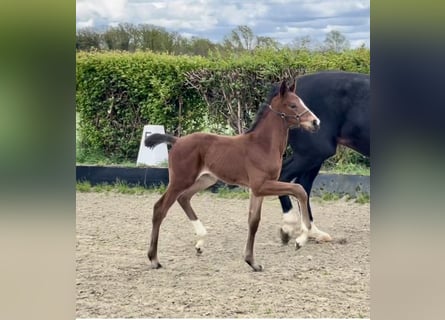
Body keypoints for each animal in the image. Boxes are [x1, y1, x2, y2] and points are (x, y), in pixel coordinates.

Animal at [146, 79, 320, 270]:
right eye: (293, 105)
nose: (315, 122)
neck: (263, 145)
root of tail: (177, 141)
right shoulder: (261, 185)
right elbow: (299, 190)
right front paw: (301, 240)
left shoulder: (257, 190)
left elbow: (253, 221)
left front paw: (252, 262)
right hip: (180, 180)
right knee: (160, 208)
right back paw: (154, 259)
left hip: (205, 179)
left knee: (184, 198)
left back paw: (200, 241)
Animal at [278, 71, 368, 244]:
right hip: (313, 153)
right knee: (284, 177)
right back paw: (289, 223)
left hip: (313, 157)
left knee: (302, 186)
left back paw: (313, 232)